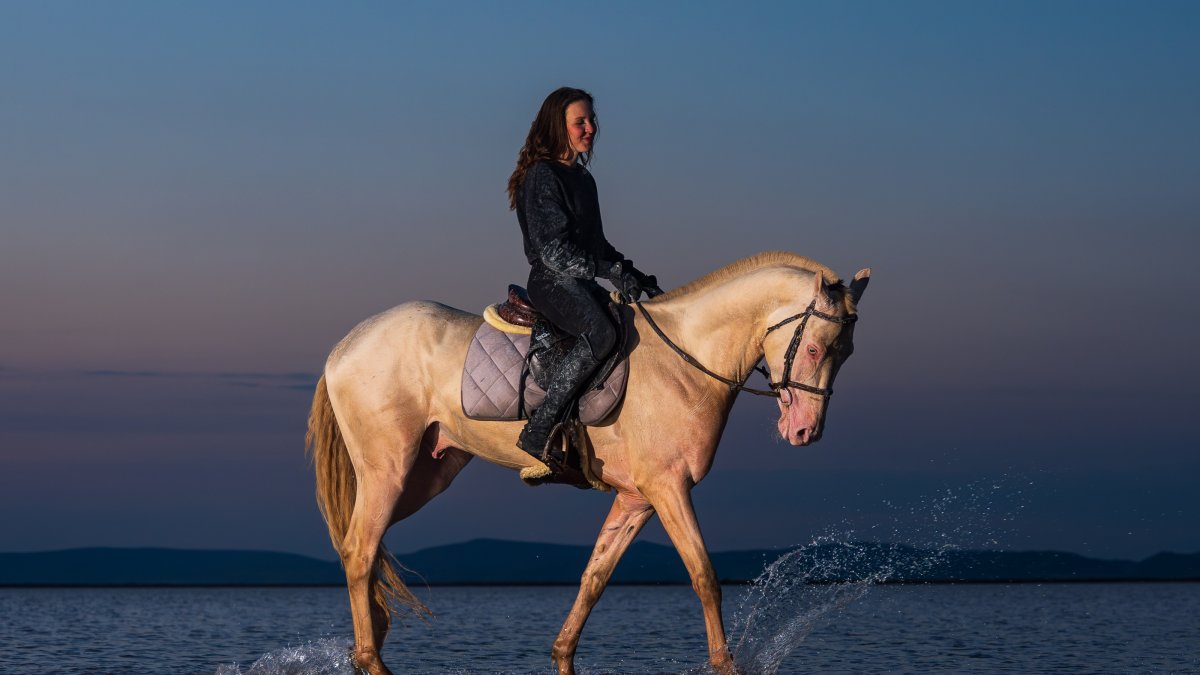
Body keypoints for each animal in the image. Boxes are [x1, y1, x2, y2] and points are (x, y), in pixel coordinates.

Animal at [306, 251, 870, 675]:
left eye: (846, 352)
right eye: (816, 348)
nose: (804, 433)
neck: (685, 360)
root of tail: (343, 348)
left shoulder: (637, 499)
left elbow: (594, 578)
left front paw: (561, 655)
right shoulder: (668, 488)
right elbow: (704, 575)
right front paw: (724, 665)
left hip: (422, 476)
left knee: (365, 545)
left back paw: (369, 643)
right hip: (388, 469)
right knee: (359, 550)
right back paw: (371, 660)